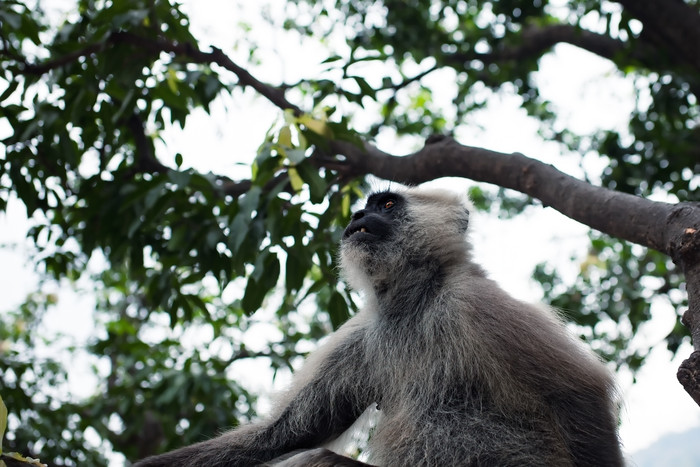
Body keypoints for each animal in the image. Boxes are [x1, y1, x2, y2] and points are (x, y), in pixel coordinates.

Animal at [135, 187, 624, 467]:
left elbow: (578, 391)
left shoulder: (474, 302)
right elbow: (289, 432)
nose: (355, 219)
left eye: (387, 205)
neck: (413, 303)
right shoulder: (363, 336)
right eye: (362, 209)